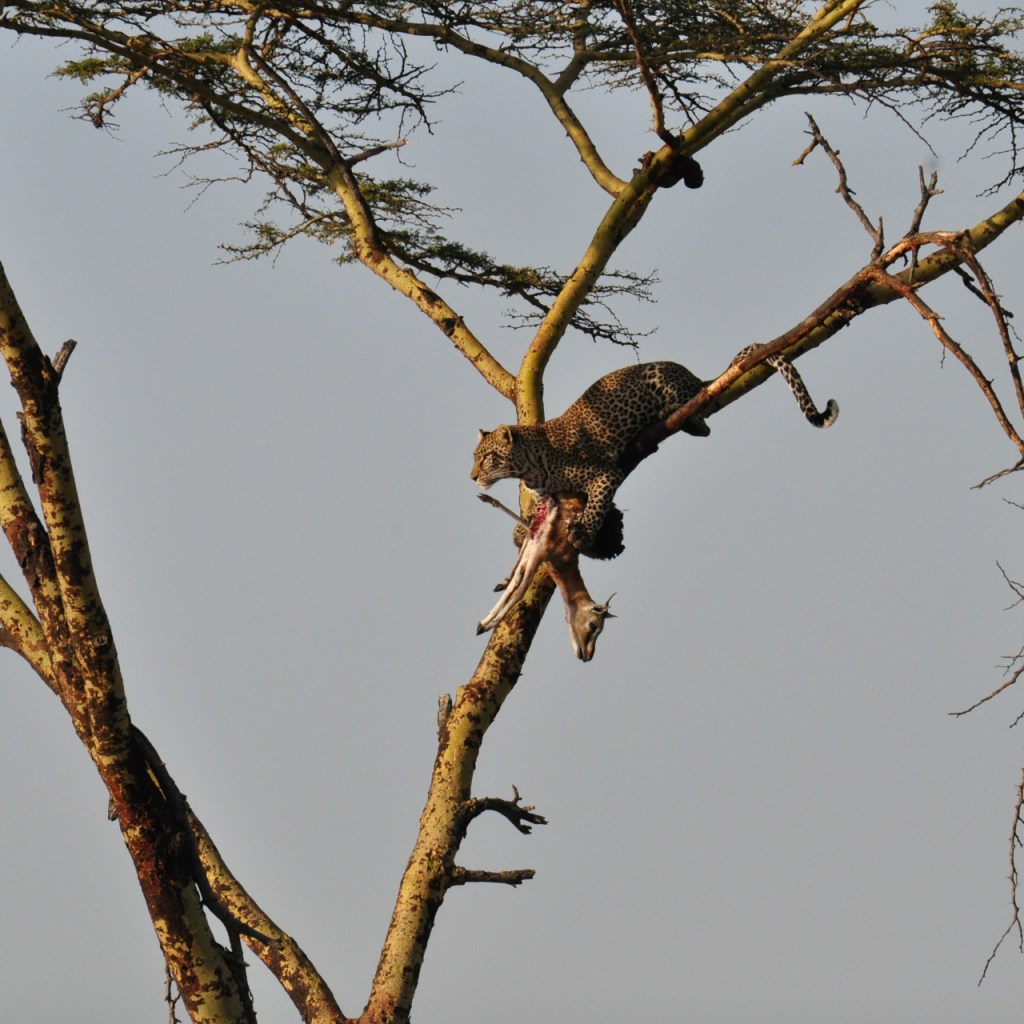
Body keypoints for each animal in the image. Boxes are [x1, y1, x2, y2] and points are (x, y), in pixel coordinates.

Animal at [471, 355, 836, 549]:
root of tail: (692, 374)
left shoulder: (606, 473)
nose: (472, 476)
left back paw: (673, 413)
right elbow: (536, 513)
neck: (528, 468)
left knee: (701, 419)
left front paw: (585, 531)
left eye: (487, 457)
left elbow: (596, 505)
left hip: (662, 378)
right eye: (474, 458)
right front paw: (522, 529)